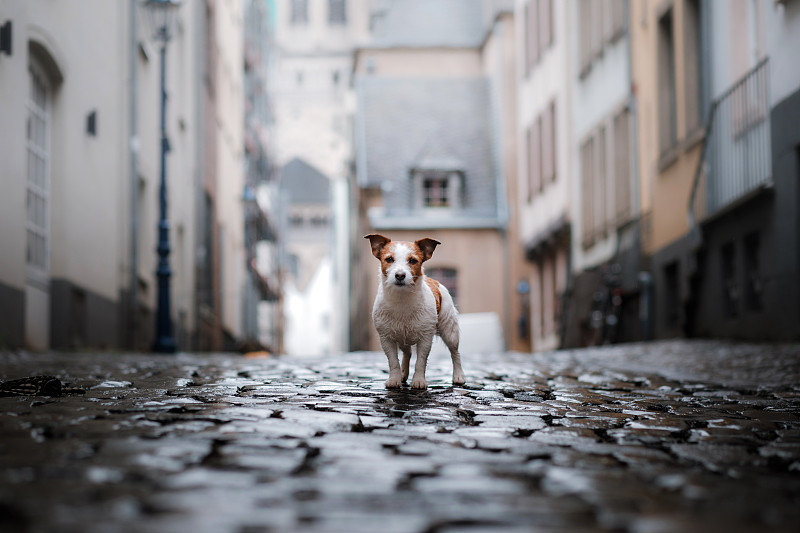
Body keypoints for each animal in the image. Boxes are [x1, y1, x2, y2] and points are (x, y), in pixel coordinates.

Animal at [366, 235, 466, 388]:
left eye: (413, 260)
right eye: (389, 259)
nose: (400, 275)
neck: (402, 299)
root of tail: (434, 280)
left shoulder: (425, 338)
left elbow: (421, 361)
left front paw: (419, 380)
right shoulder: (386, 338)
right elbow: (393, 361)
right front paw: (394, 379)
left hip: (450, 331)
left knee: (455, 353)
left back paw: (459, 376)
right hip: (402, 339)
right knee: (407, 354)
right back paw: (403, 373)